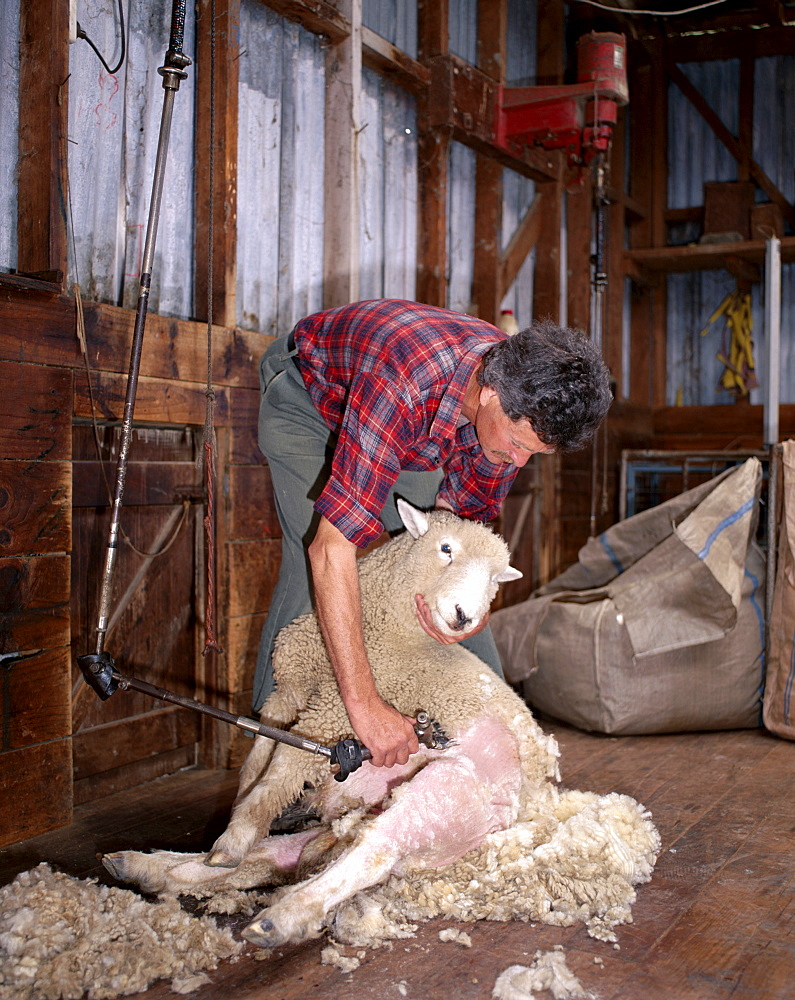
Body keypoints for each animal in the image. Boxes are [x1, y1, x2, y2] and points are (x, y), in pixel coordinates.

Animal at [102, 500, 660, 952]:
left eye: (496, 577)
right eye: (445, 548)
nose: (465, 616)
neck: (389, 629)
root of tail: (537, 807)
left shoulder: (335, 712)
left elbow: (281, 768)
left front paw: (237, 832)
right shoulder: (289, 694)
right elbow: (259, 762)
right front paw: (237, 829)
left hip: (446, 792)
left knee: (374, 849)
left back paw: (279, 919)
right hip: (346, 814)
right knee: (281, 856)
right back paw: (150, 866)